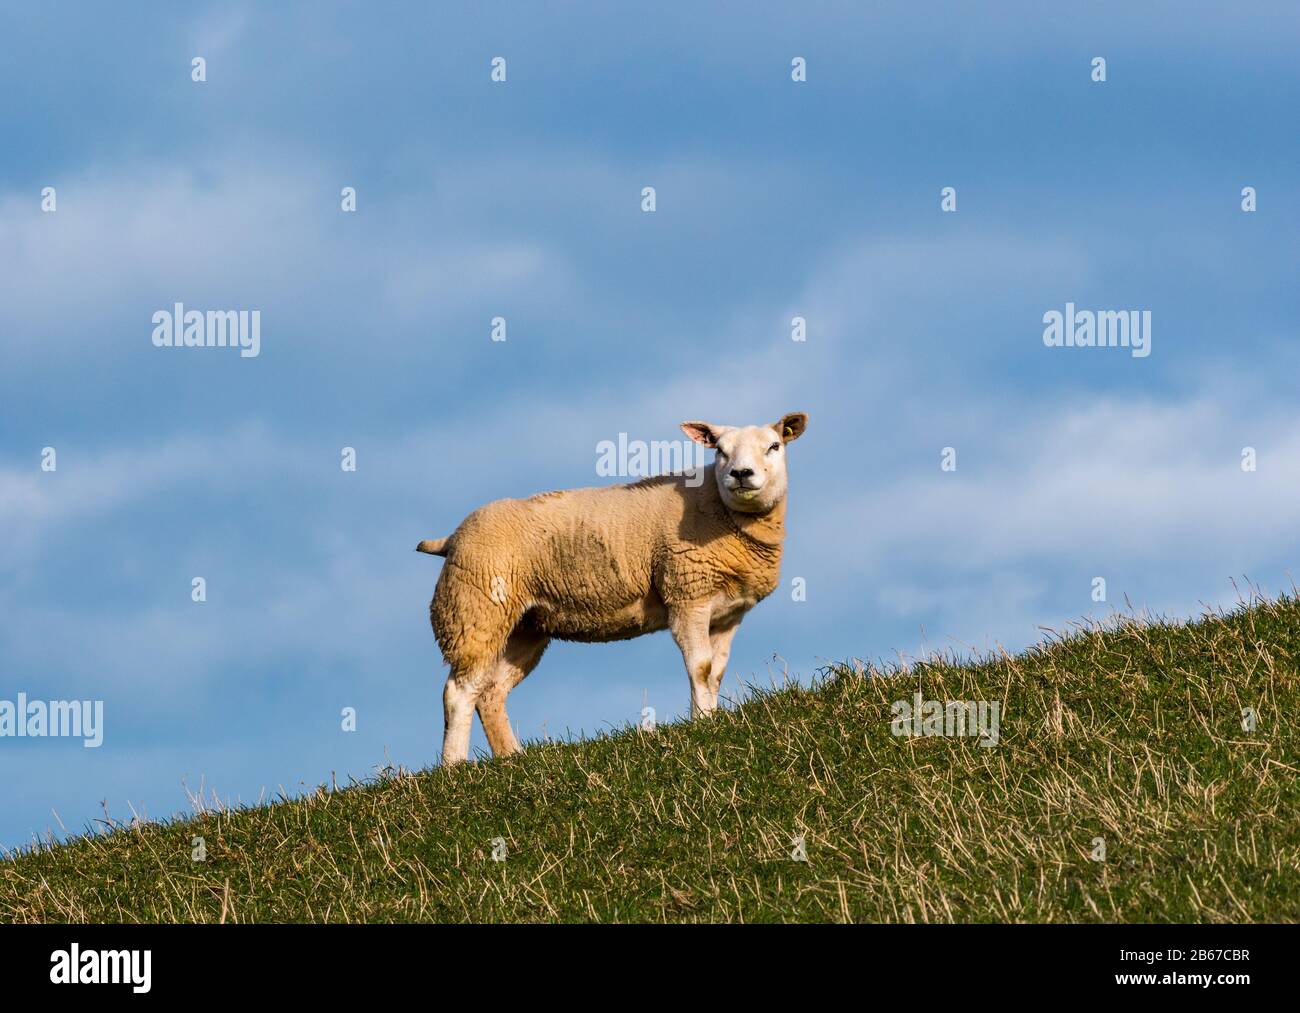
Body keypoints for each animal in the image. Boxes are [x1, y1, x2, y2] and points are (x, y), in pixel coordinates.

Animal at [418, 410, 800, 759]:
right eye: (719, 450)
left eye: (774, 446)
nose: (741, 474)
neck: (718, 508)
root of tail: (451, 538)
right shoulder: (686, 595)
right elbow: (700, 667)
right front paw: (702, 724)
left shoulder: (727, 613)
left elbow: (716, 672)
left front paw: (712, 719)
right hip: (474, 611)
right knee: (459, 691)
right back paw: (454, 766)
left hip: (523, 626)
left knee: (490, 692)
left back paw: (511, 758)